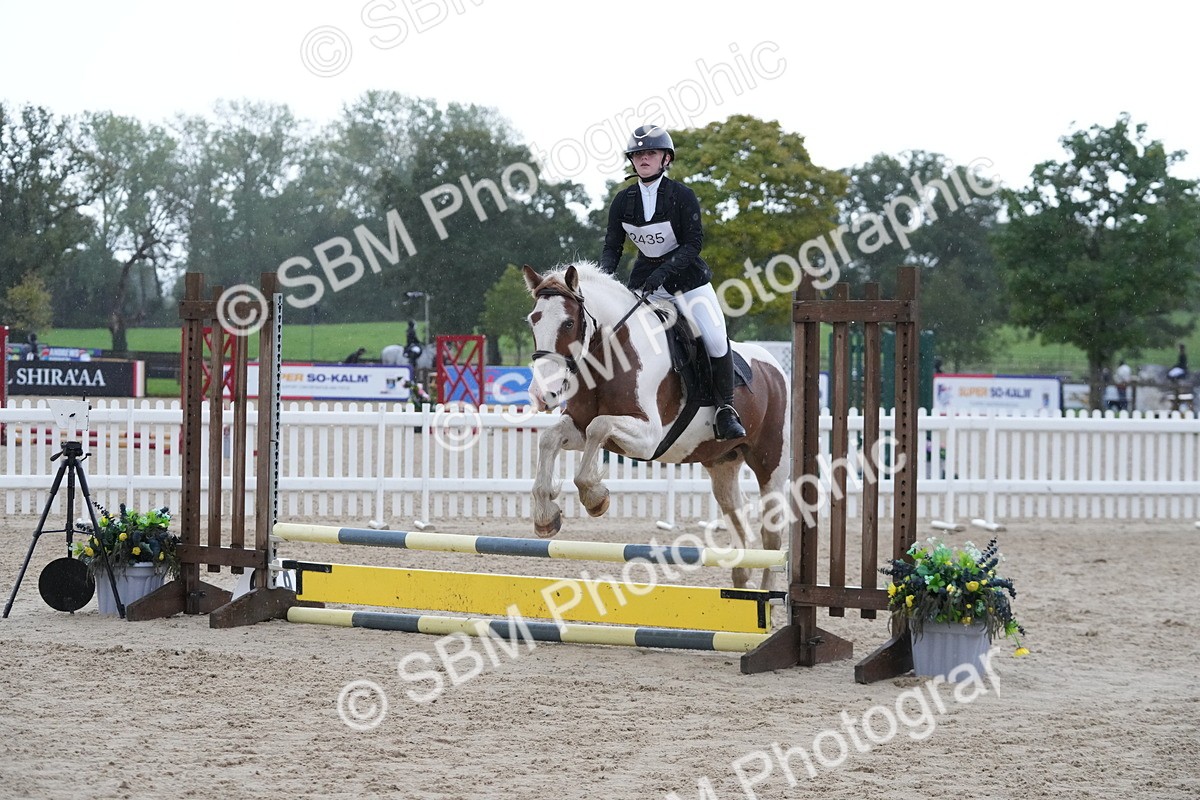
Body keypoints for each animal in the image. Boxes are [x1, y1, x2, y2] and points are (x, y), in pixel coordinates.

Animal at [522, 262, 790, 590]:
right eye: (533, 321)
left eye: (569, 323)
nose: (541, 394)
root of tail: (773, 367)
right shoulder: (578, 427)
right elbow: (550, 438)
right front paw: (545, 516)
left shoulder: (648, 437)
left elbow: (599, 427)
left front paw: (595, 497)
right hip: (723, 462)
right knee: (737, 517)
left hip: (771, 464)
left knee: (772, 535)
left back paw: (767, 595)